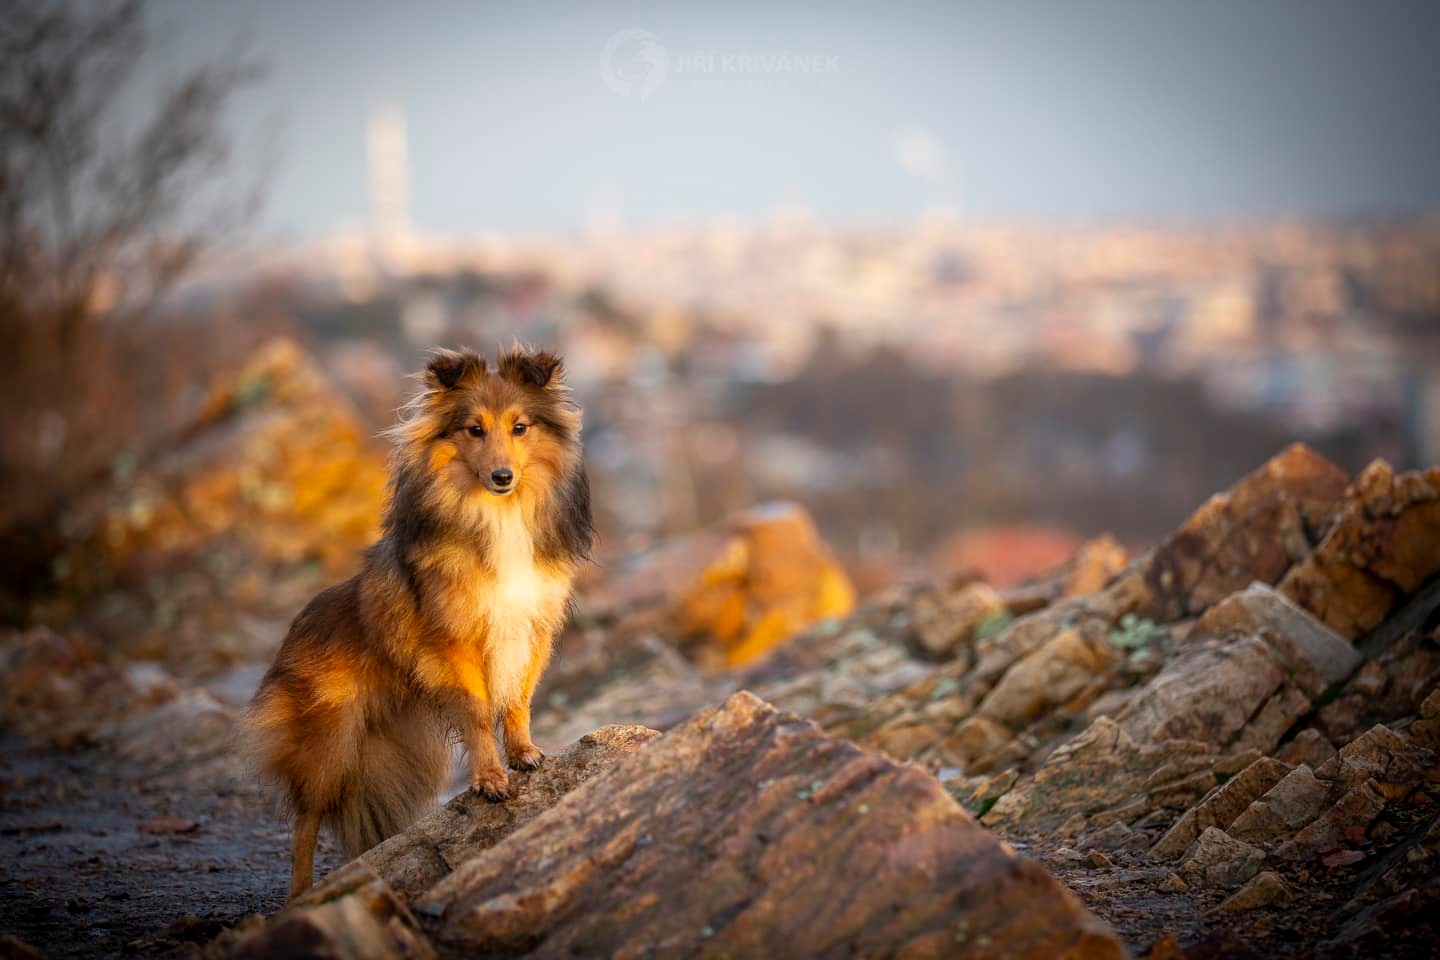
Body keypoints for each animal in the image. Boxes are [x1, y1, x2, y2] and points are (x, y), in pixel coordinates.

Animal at [244, 346, 593, 903]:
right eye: (474, 429)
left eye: (520, 427)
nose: (502, 477)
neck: (499, 517)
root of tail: (295, 627)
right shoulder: (455, 642)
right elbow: (477, 713)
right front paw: (490, 779)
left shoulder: (530, 628)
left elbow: (518, 700)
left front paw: (524, 754)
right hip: (330, 743)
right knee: (306, 820)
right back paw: (300, 896)